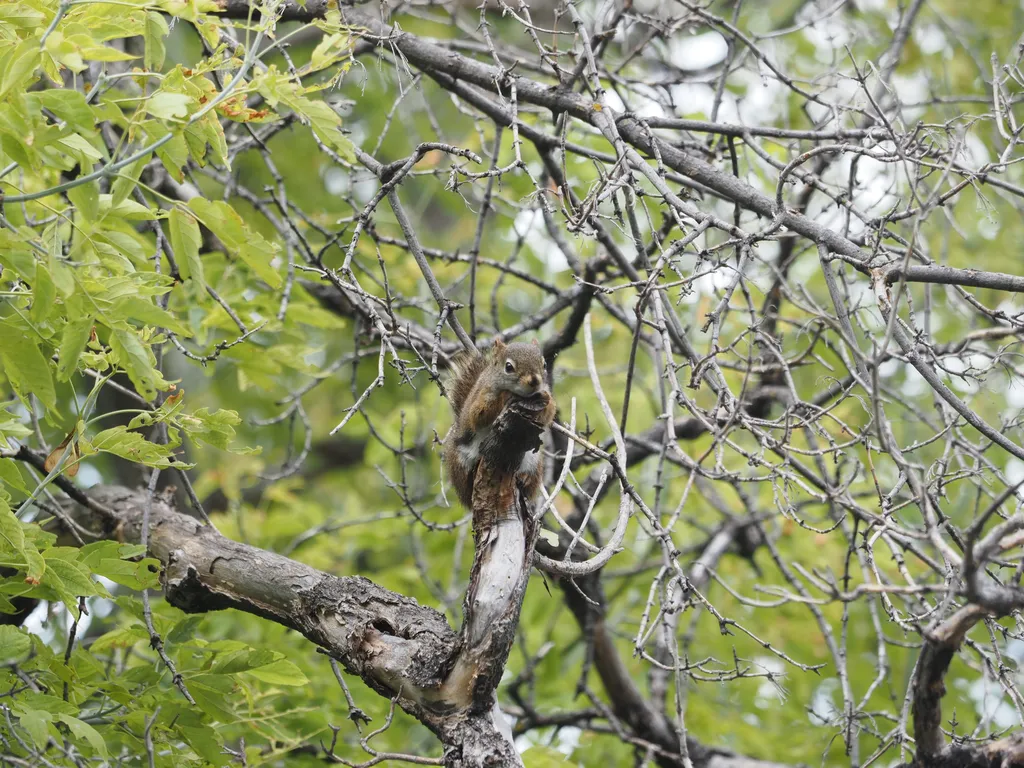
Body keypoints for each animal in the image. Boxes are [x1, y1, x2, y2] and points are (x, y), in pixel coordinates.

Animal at [444, 342, 557, 512]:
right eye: (508, 367)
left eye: (544, 364)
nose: (534, 380)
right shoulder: (481, 397)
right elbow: (478, 415)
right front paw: (506, 396)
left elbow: (548, 413)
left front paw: (545, 400)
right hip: (459, 461)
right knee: (466, 486)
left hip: (533, 461)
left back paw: (525, 478)